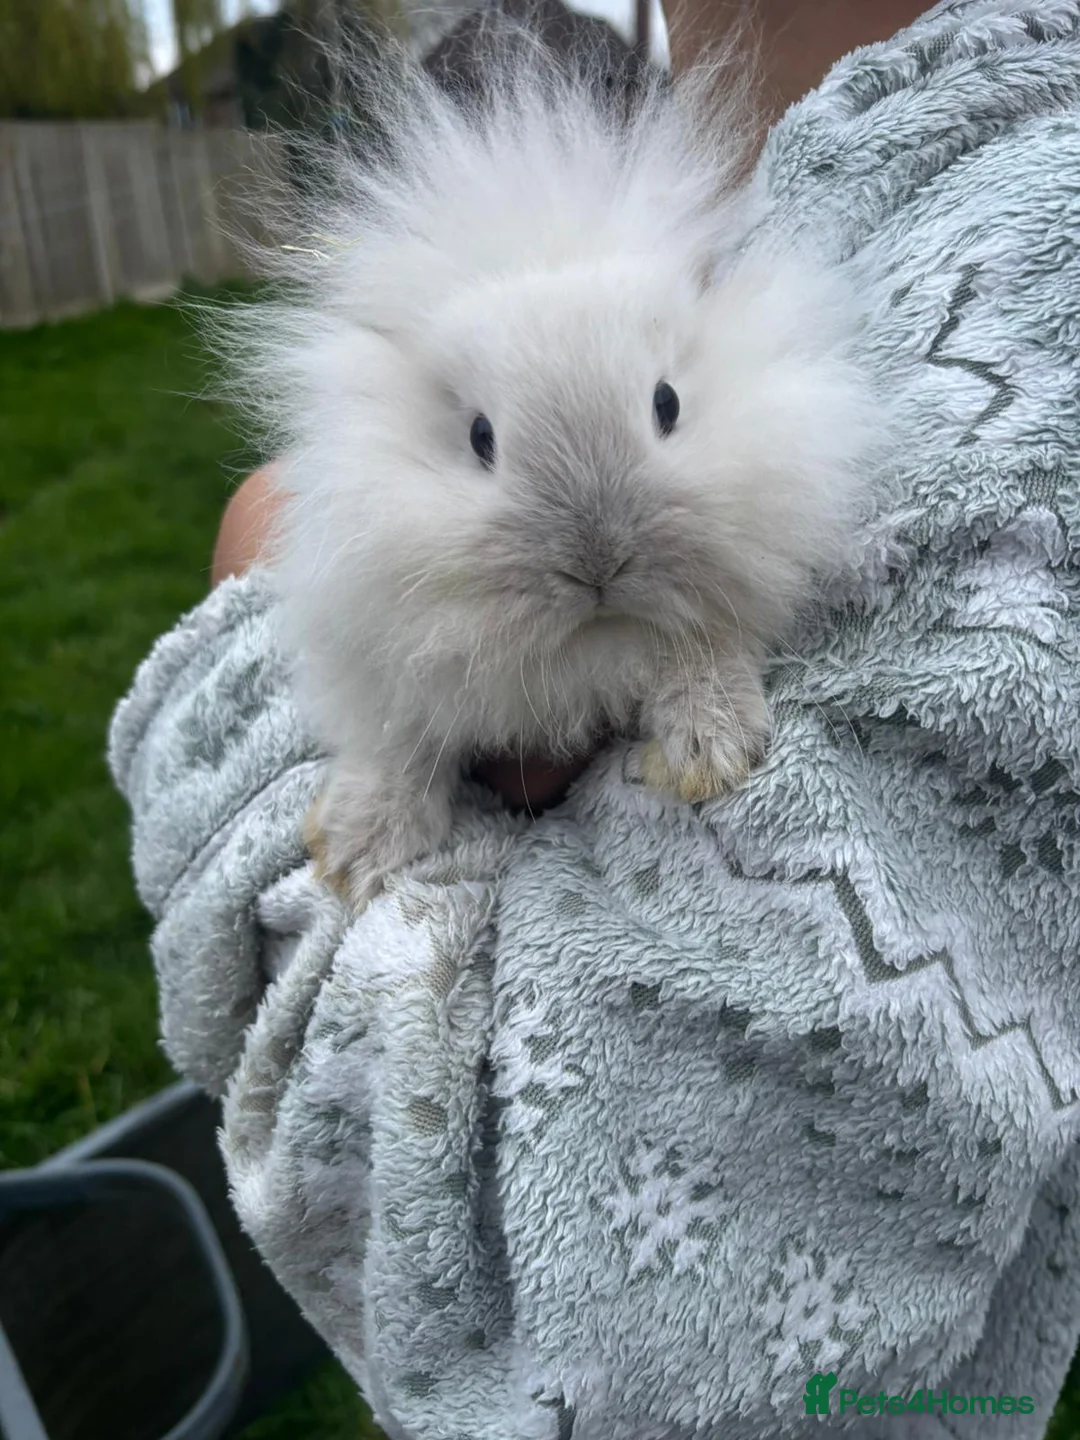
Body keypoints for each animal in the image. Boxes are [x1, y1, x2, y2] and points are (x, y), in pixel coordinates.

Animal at [218, 16, 885, 910]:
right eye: (480, 438)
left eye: (667, 404)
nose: (597, 564)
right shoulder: (368, 644)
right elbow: (398, 742)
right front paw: (359, 847)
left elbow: (703, 647)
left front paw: (712, 749)